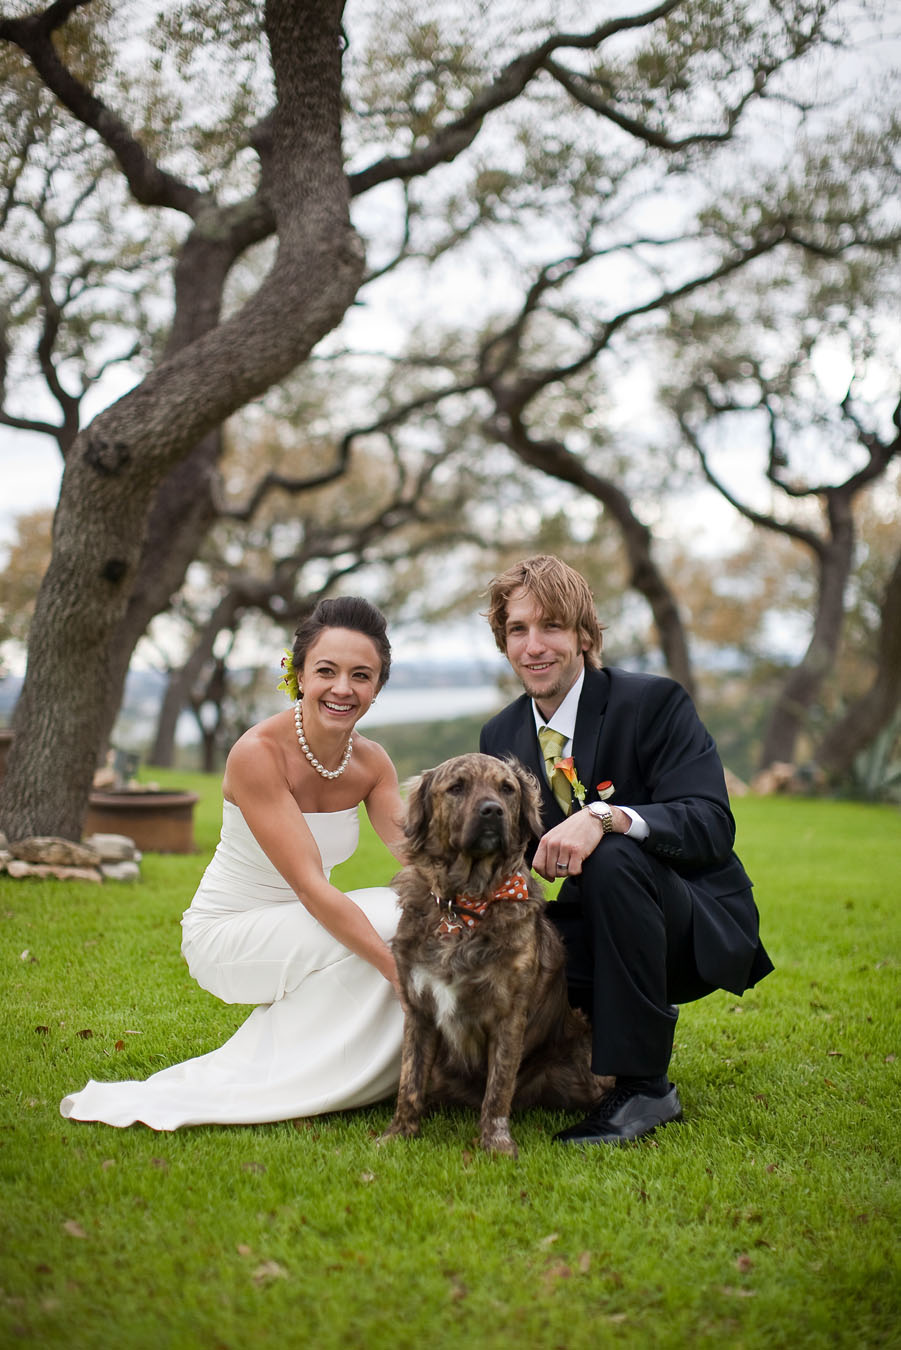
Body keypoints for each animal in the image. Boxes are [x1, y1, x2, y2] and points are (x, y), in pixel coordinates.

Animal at [380, 756, 613, 1155]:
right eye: (456, 788)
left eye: (507, 788)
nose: (492, 811)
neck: (463, 903)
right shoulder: (418, 1009)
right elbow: (409, 1084)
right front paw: (398, 1135)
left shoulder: (508, 1014)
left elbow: (499, 1086)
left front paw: (496, 1144)